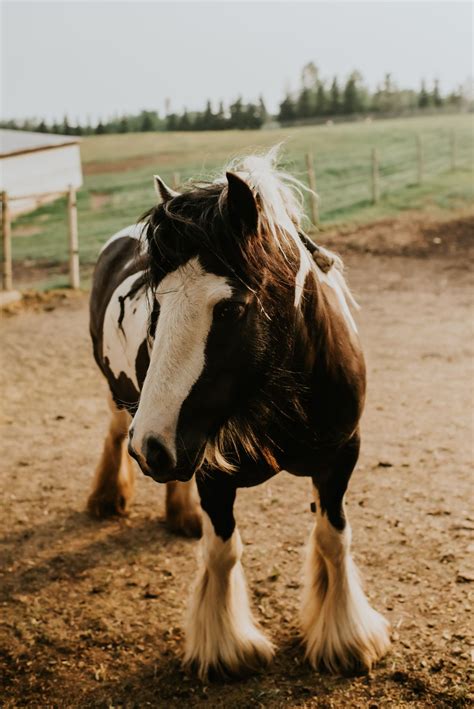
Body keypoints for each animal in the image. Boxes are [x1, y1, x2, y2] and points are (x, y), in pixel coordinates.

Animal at [87, 148, 390, 676]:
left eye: (229, 310)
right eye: (154, 304)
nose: (151, 446)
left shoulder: (340, 459)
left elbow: (333, 539)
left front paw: (344, 638)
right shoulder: (212, 474)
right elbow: (223, 551)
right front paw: (227, 648)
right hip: (126, 399)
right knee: (114, 430)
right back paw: (111, 495)